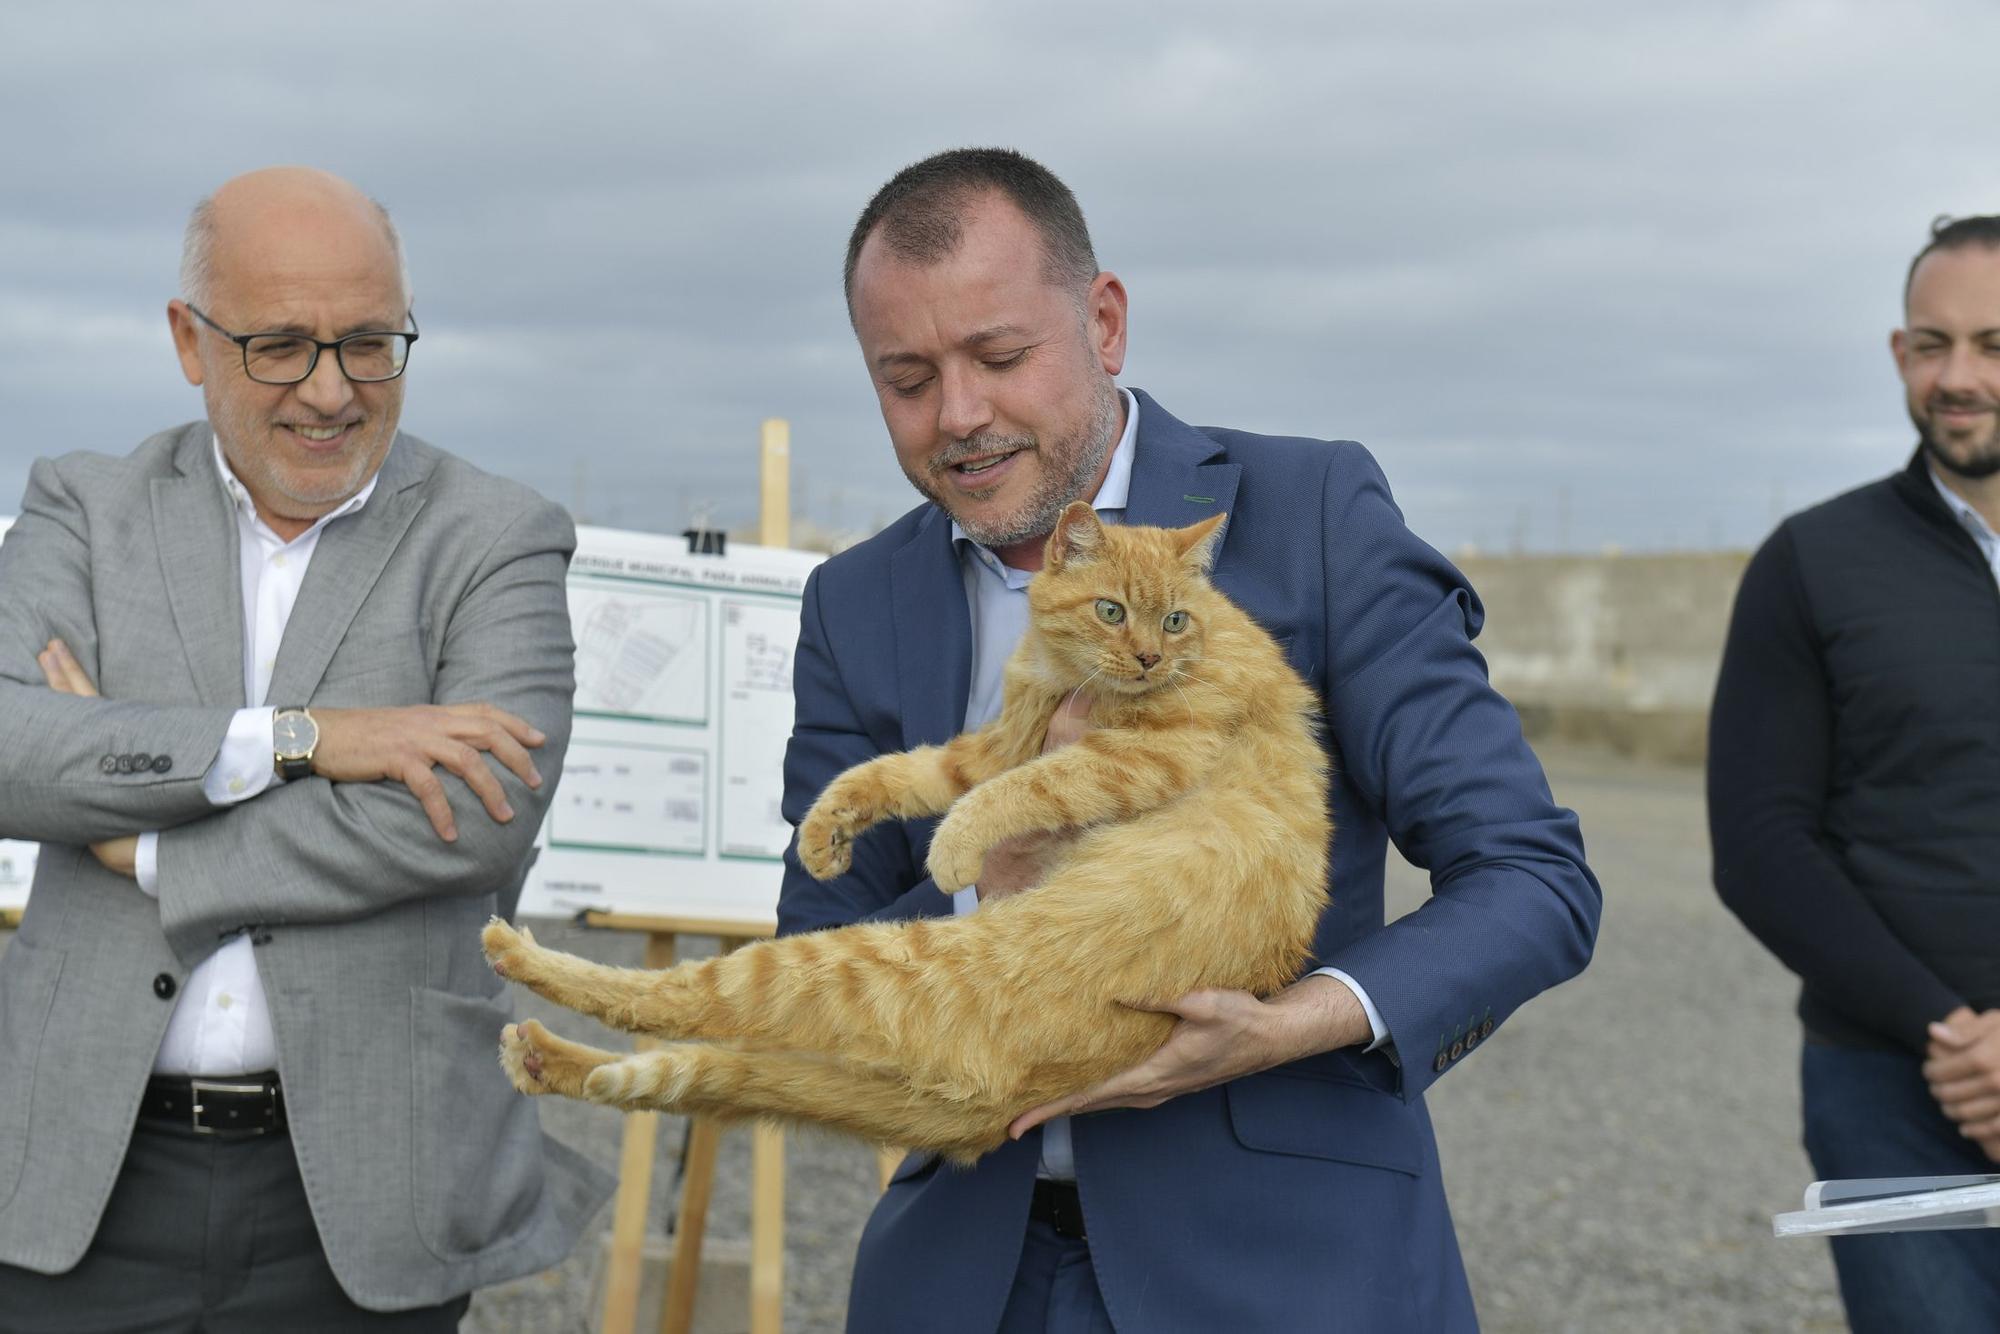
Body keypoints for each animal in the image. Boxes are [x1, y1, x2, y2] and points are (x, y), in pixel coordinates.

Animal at [482, 500, 1328, 1160]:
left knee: (685, 1000)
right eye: (1112, 610)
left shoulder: (1147, 752)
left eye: (1176, 620)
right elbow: (898, 772)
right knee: (693, 1058)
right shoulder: (995, 742)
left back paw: (521, 962)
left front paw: (951, 851)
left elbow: (1026, 788)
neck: (1064, 670)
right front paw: (824, 831)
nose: (1151, 658)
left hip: (855, 966)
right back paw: (547, 1055)